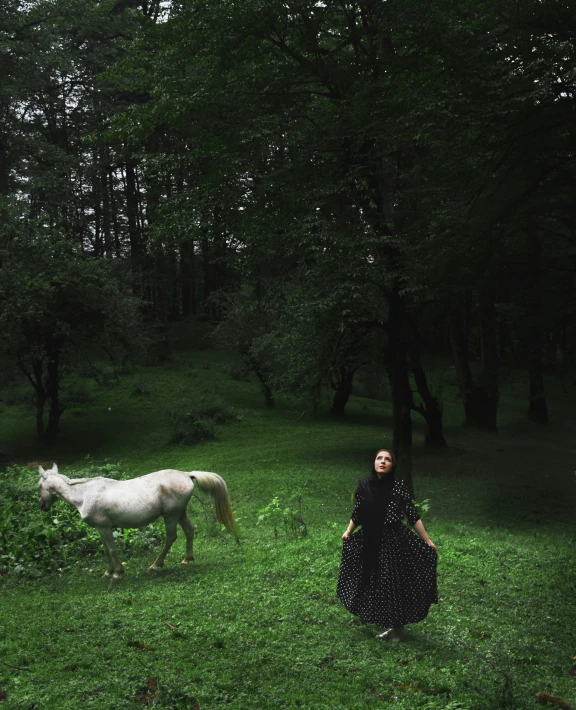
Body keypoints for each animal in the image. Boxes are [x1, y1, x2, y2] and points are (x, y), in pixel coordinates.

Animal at [38, 468, 237, 580]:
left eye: (39, 486)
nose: (42, 506)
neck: (84, 493)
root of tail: (186, 475)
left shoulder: (104, 527)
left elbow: (111, 550)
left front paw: (117, 573)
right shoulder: (101, 529)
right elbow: (106, 550)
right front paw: (108, 572)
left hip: (171, 516)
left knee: (171, 537)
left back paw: (156, 565)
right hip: (180, 514)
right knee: (189, 530)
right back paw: (187, 559)